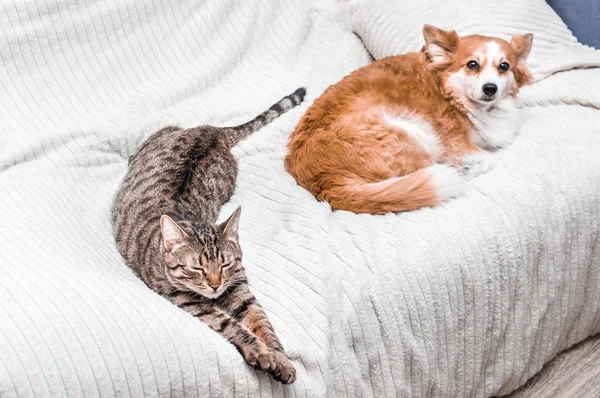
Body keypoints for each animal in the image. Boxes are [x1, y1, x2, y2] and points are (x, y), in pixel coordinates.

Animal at [111, 88, 304, 384]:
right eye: (197, 268)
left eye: (224, 264)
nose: (214, 285)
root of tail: (211, 131)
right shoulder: (185, 297)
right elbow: (229, 323)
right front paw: (261, 352)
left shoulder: (237, 284)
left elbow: (261, 321)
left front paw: (281, 358)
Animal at [286, 24, 536, 215]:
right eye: (472, 64)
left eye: (504, 66)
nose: (490, 88)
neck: (451, 92)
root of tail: (324, 182)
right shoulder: (456, 145)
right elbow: (488, 159)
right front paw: (468, 169)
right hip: (411, 135)